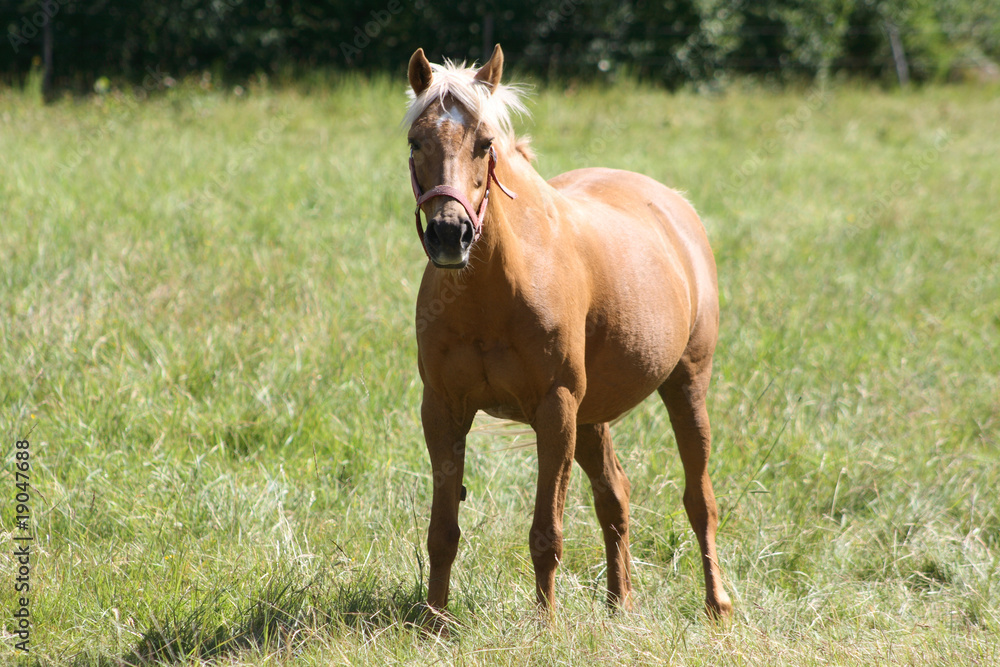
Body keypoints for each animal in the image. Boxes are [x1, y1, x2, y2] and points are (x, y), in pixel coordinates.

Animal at [405, 44, 732, 621]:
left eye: (485, 144)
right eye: (415, 142)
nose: (450, 233)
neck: (497, 288)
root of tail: (674, 204)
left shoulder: (554, 410)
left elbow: (546, 534)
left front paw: (546, 626)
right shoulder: (443, 409)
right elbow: (442, 532)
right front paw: (434, 625)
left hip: (685, 386)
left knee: (700, 501)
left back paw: (717, 605)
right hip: (592, 415)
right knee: (615, 495)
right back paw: (619, 604)